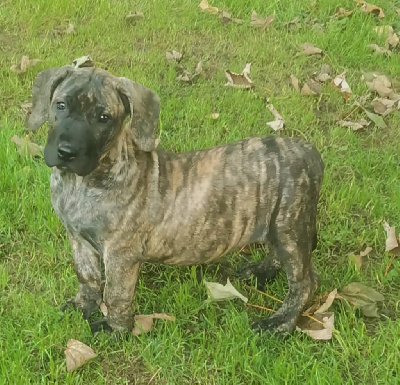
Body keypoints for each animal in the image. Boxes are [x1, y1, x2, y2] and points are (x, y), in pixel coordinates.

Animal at [27, 66, 322, 336]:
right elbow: (86, 276)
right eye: (60, 105)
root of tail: (307, 150)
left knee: (305, 283)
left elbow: (116, 293)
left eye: (103, 118)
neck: (82, 182)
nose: (67, 152)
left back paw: (281, 323)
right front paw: (82, 305)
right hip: (278, 225)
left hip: (289, 227)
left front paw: (116, 329)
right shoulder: (78, 239)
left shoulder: (121, 253)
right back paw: (261, 271)